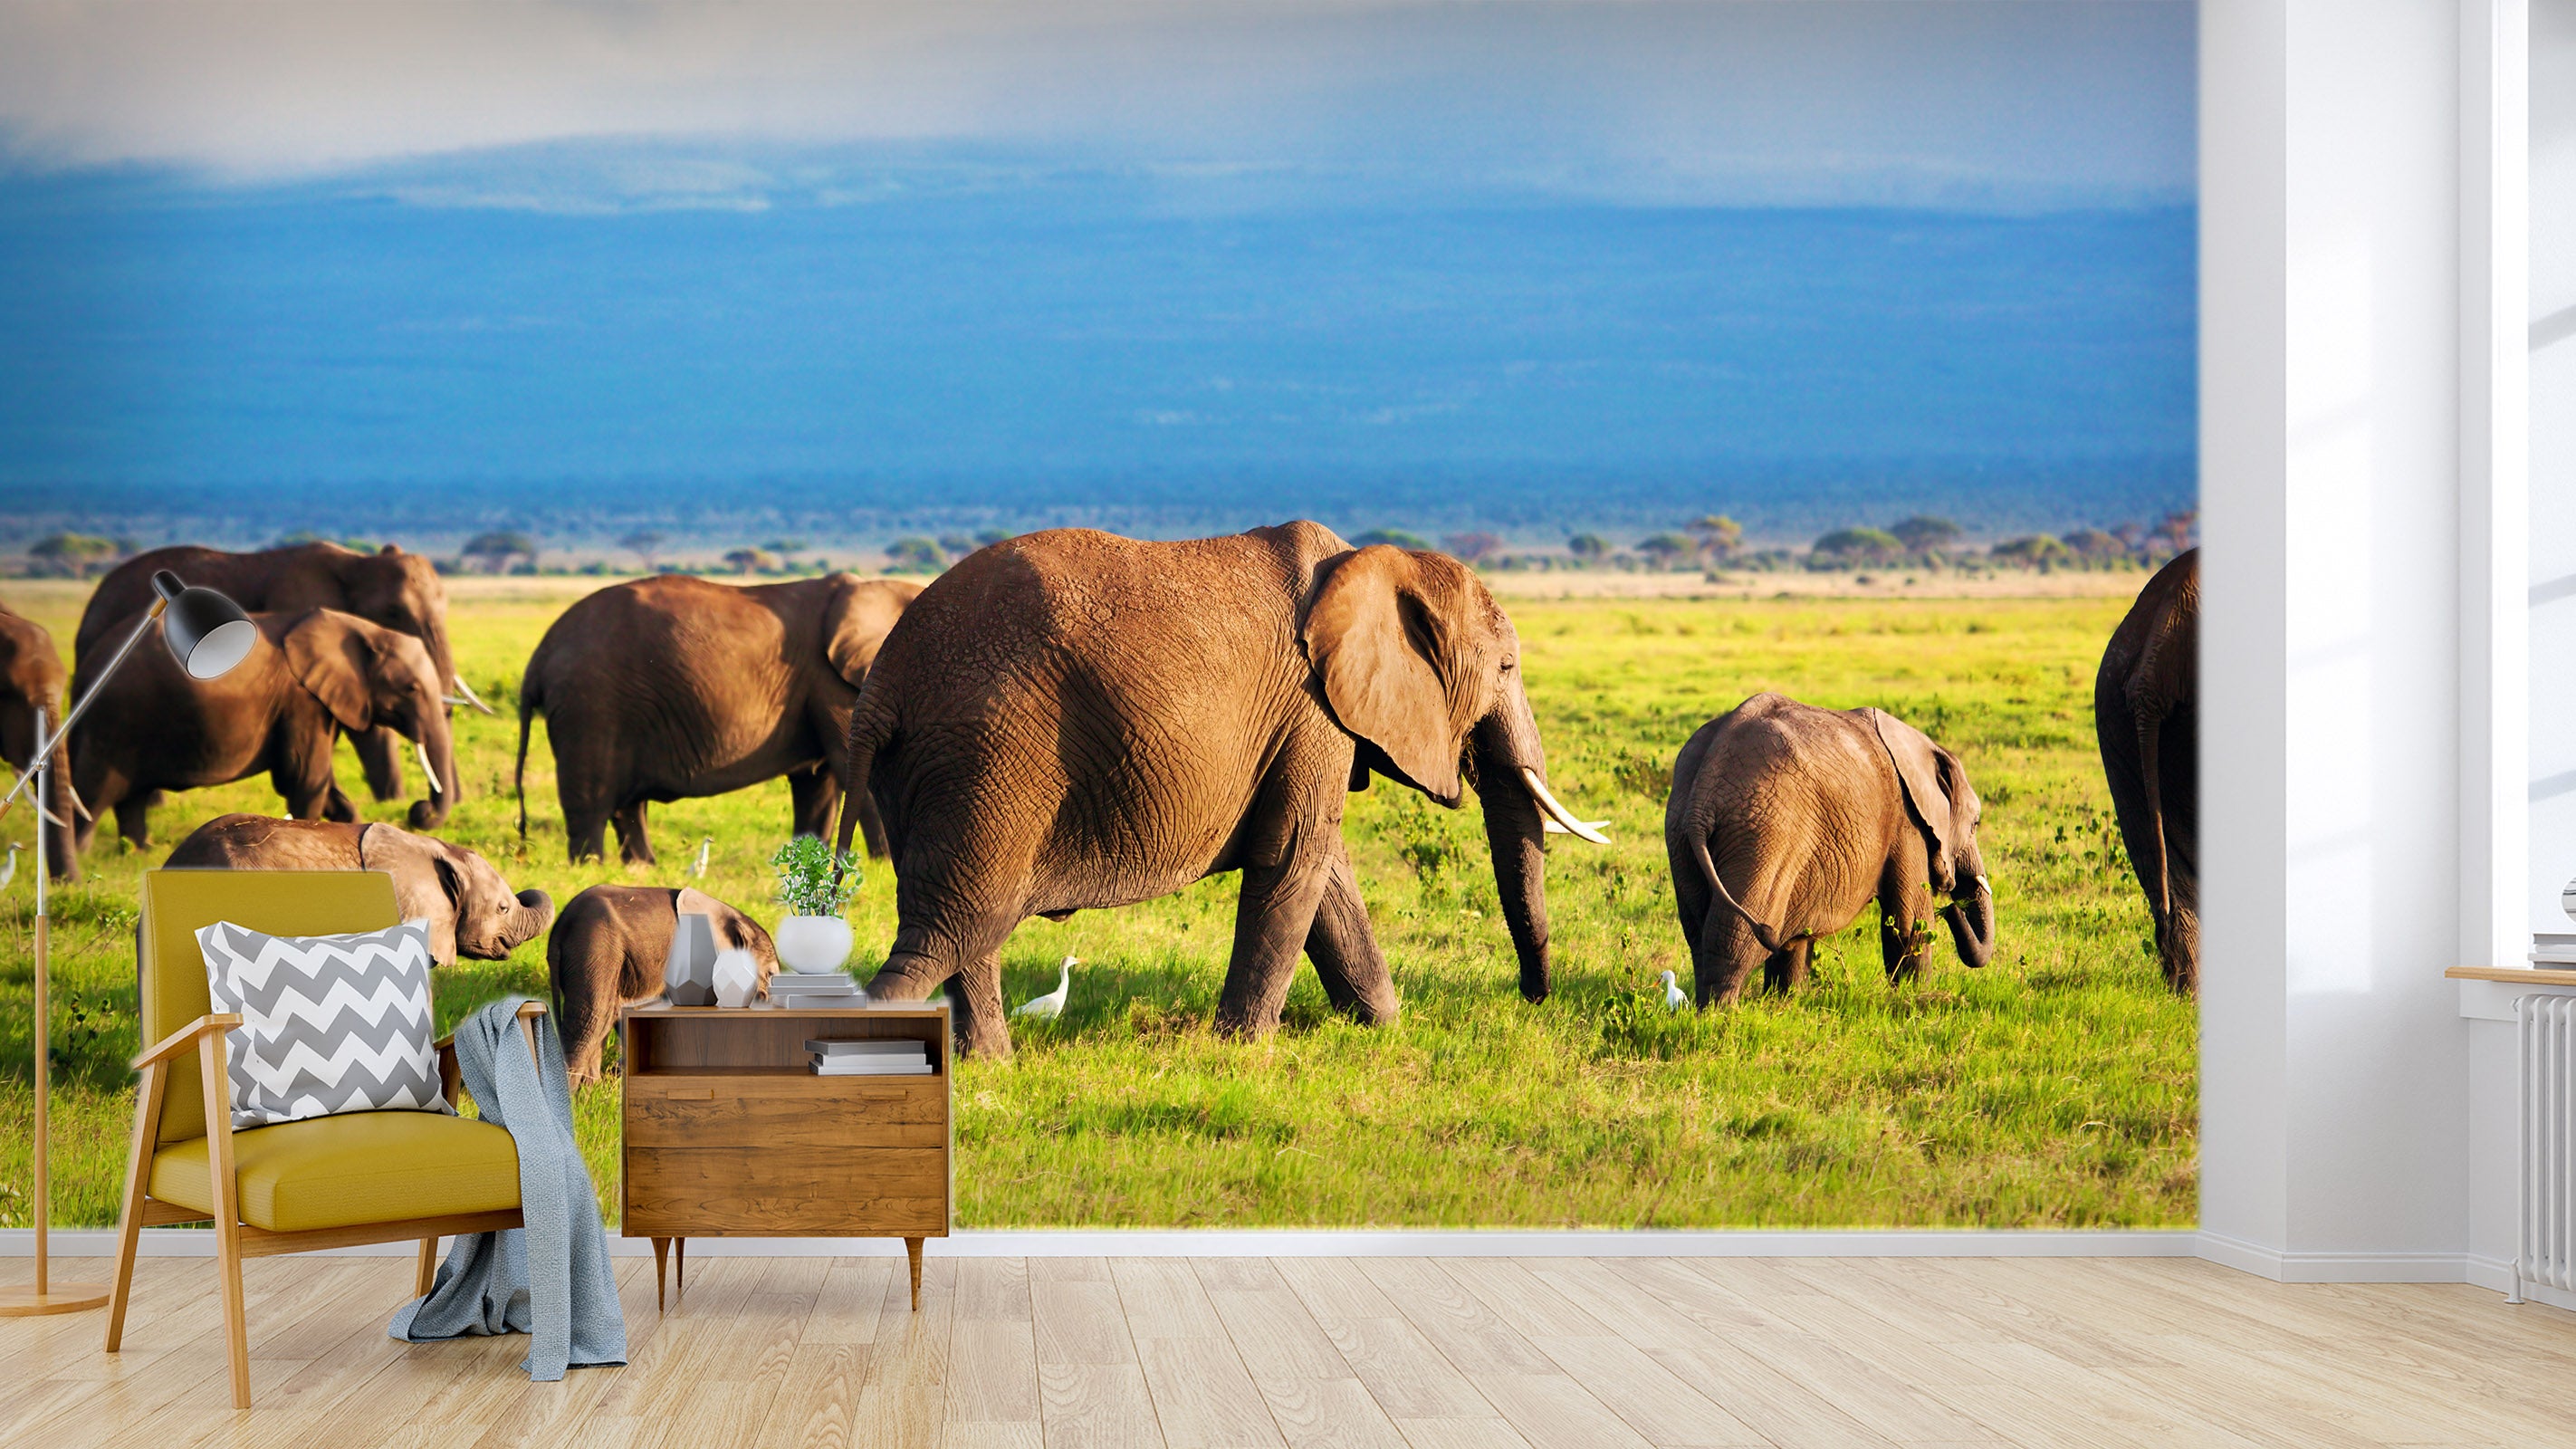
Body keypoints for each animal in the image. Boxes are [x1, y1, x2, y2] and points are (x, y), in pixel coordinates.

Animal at [69, 608, 458, 853]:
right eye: (411, 689)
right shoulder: (301, 699)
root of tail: (87, 665)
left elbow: (318, 779)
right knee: (94, 792)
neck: (362, 628)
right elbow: (304, 776)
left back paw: (139, 852)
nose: (419, 811)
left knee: (130, 798)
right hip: (112, 721)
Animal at [515, 571, 920, 864]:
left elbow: (817, 783)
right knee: (592, 802)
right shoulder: (836, 683)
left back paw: (642, 868)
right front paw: (886, 866)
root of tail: (539, 656)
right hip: (590, 705)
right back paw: (592, 868)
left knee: (627, 806)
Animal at [833, 523, 1612, 1059]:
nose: (1532, 999)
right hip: (990, 757)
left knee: (967, 932)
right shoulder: (1312, 710)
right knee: (950, 931)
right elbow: (1295, 859)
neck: (1371, 563)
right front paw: (1244, 1050)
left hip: (941, 770)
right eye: (1506, 666)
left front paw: (1381, 1029)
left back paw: (990, 1064)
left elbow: (1327, 874)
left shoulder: (1306, 723)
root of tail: (884, 683)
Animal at [1665, 692, 1996, 1005]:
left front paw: (1785, 1002)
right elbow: (1910, 921)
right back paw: (1720, 1014)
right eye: (1976, 823)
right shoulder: (1906, 821)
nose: (1952, 909)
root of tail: (1703, 792)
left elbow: (1798, 937)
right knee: (1738, 932)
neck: (1922, 745)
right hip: (1765, 833)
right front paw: (1914, 996)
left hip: (1683, 838)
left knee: (1699, 931)